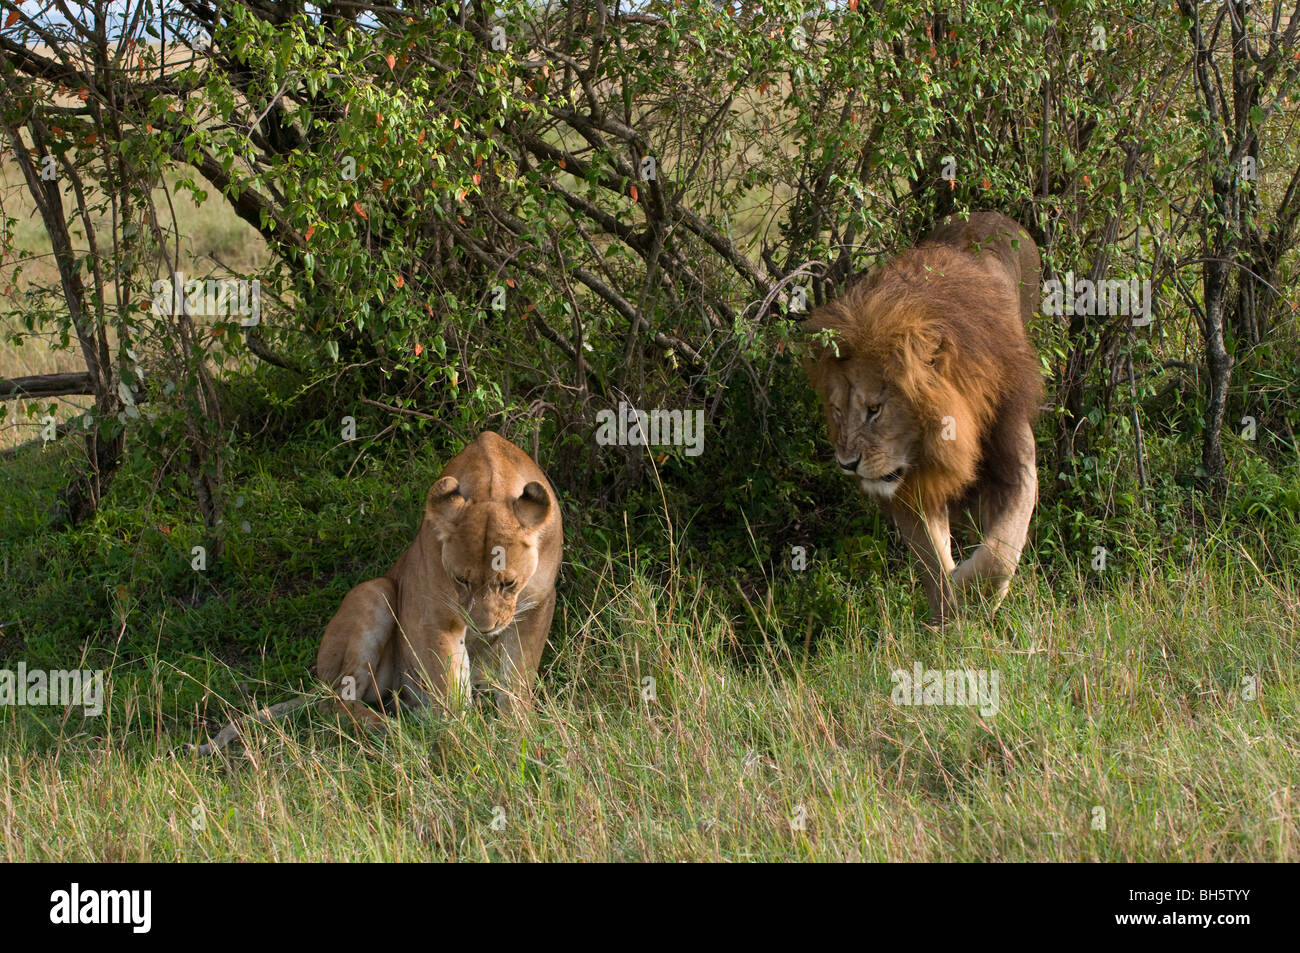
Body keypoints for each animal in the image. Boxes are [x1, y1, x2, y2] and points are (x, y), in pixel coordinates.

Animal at [196, 432, 562, 754]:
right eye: (461, 580)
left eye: (508, 583)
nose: (483, 628)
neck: (492, 482)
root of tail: (320, 681)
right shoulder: (438, 613)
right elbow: (450, 686)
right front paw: (464, 741)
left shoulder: (537, 605)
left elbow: (517, 679)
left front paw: (516, 731)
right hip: (375, 592)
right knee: (336, 703)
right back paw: (393, 729)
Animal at [805, 211, 1043, 624]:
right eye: (837, 411)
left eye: (874, 409)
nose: (847, 464)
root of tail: (988, 212)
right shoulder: (911, 487)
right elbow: (932, 559)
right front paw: (949, 616)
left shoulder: (1017, 460)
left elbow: (1000, 551)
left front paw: (972, 592)